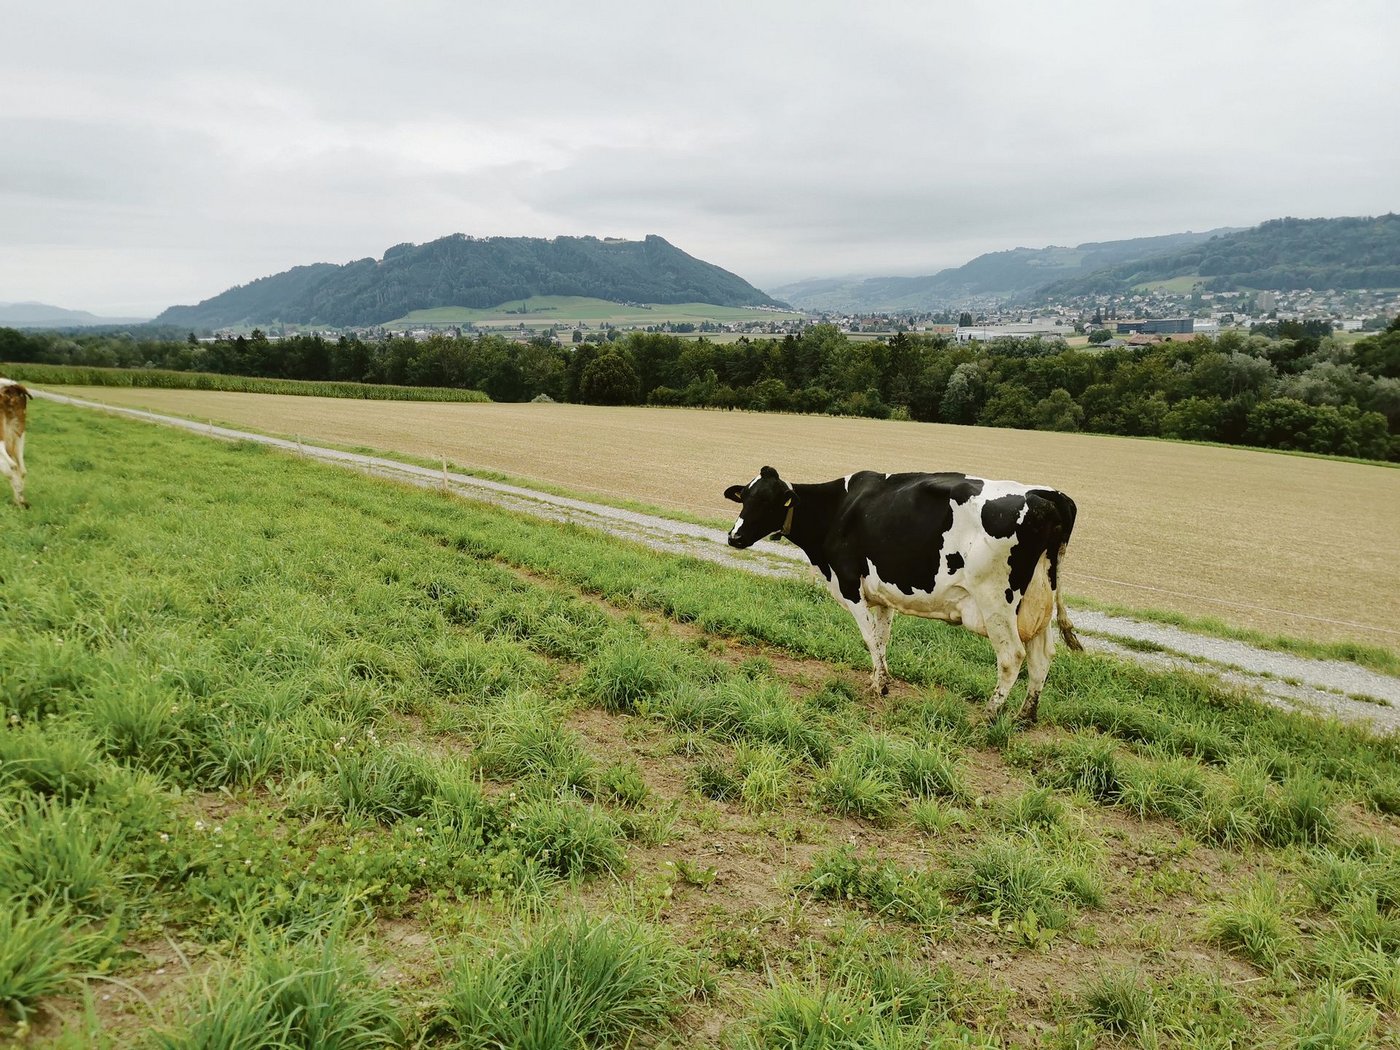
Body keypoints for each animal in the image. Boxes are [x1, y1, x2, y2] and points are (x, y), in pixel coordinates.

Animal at [724, 466, 1082, 722]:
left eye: (767, 502)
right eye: (745, 498)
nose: (734, 536)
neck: (837, 510)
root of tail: (1047, 497)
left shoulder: (850, 584)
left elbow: (868, 638)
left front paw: (881, 684)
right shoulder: (884, 595)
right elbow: (882, 639)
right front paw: (878, 680)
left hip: (996, 600)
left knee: (1012, 656)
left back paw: (990, 714)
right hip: (1038, 603)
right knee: (1041, 657)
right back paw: (1026, 715)